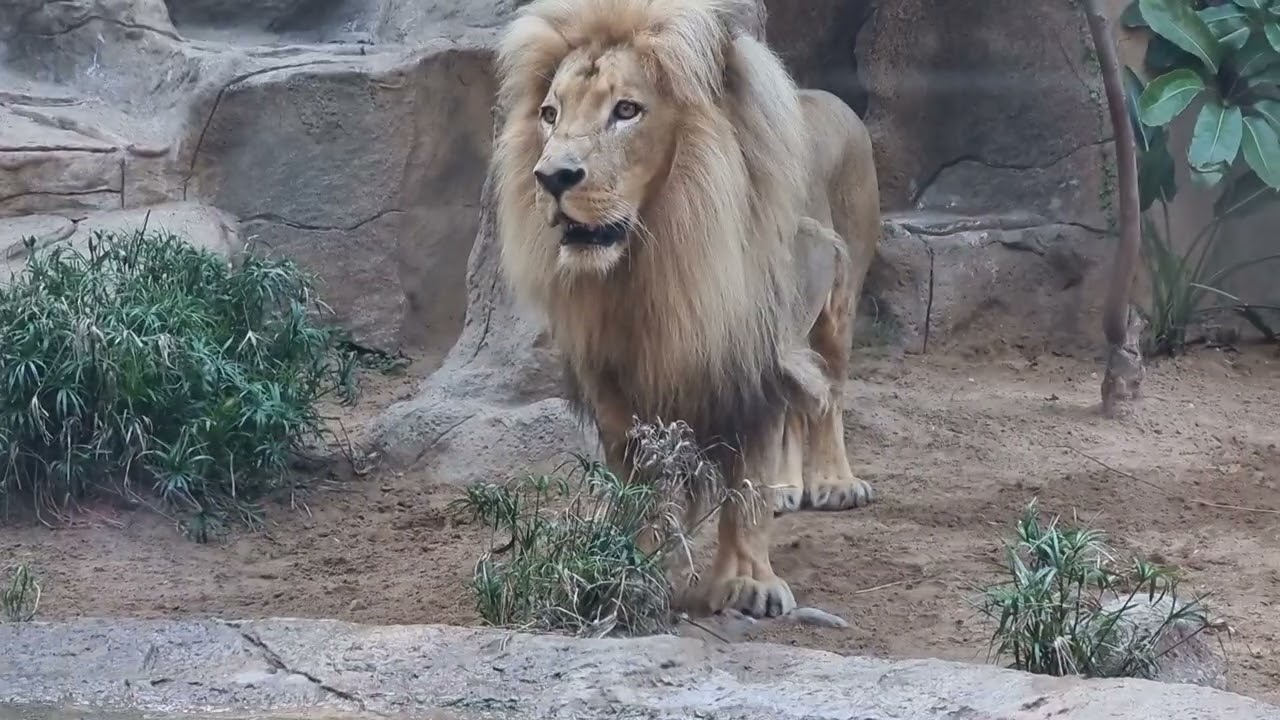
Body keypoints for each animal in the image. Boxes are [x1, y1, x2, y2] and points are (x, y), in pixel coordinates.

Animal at [493, 0, 882, 619]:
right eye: (551, 114)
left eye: (626, 110)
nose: (551, 177)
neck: (650, 268)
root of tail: (830, 98)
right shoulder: (614, 385)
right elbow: (639, 486)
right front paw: (629, 569)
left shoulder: (751, 364)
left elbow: (745, 488)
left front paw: (748, 584)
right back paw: (787, 489)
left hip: (837, 305)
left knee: (829, 397)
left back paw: (832, 482)